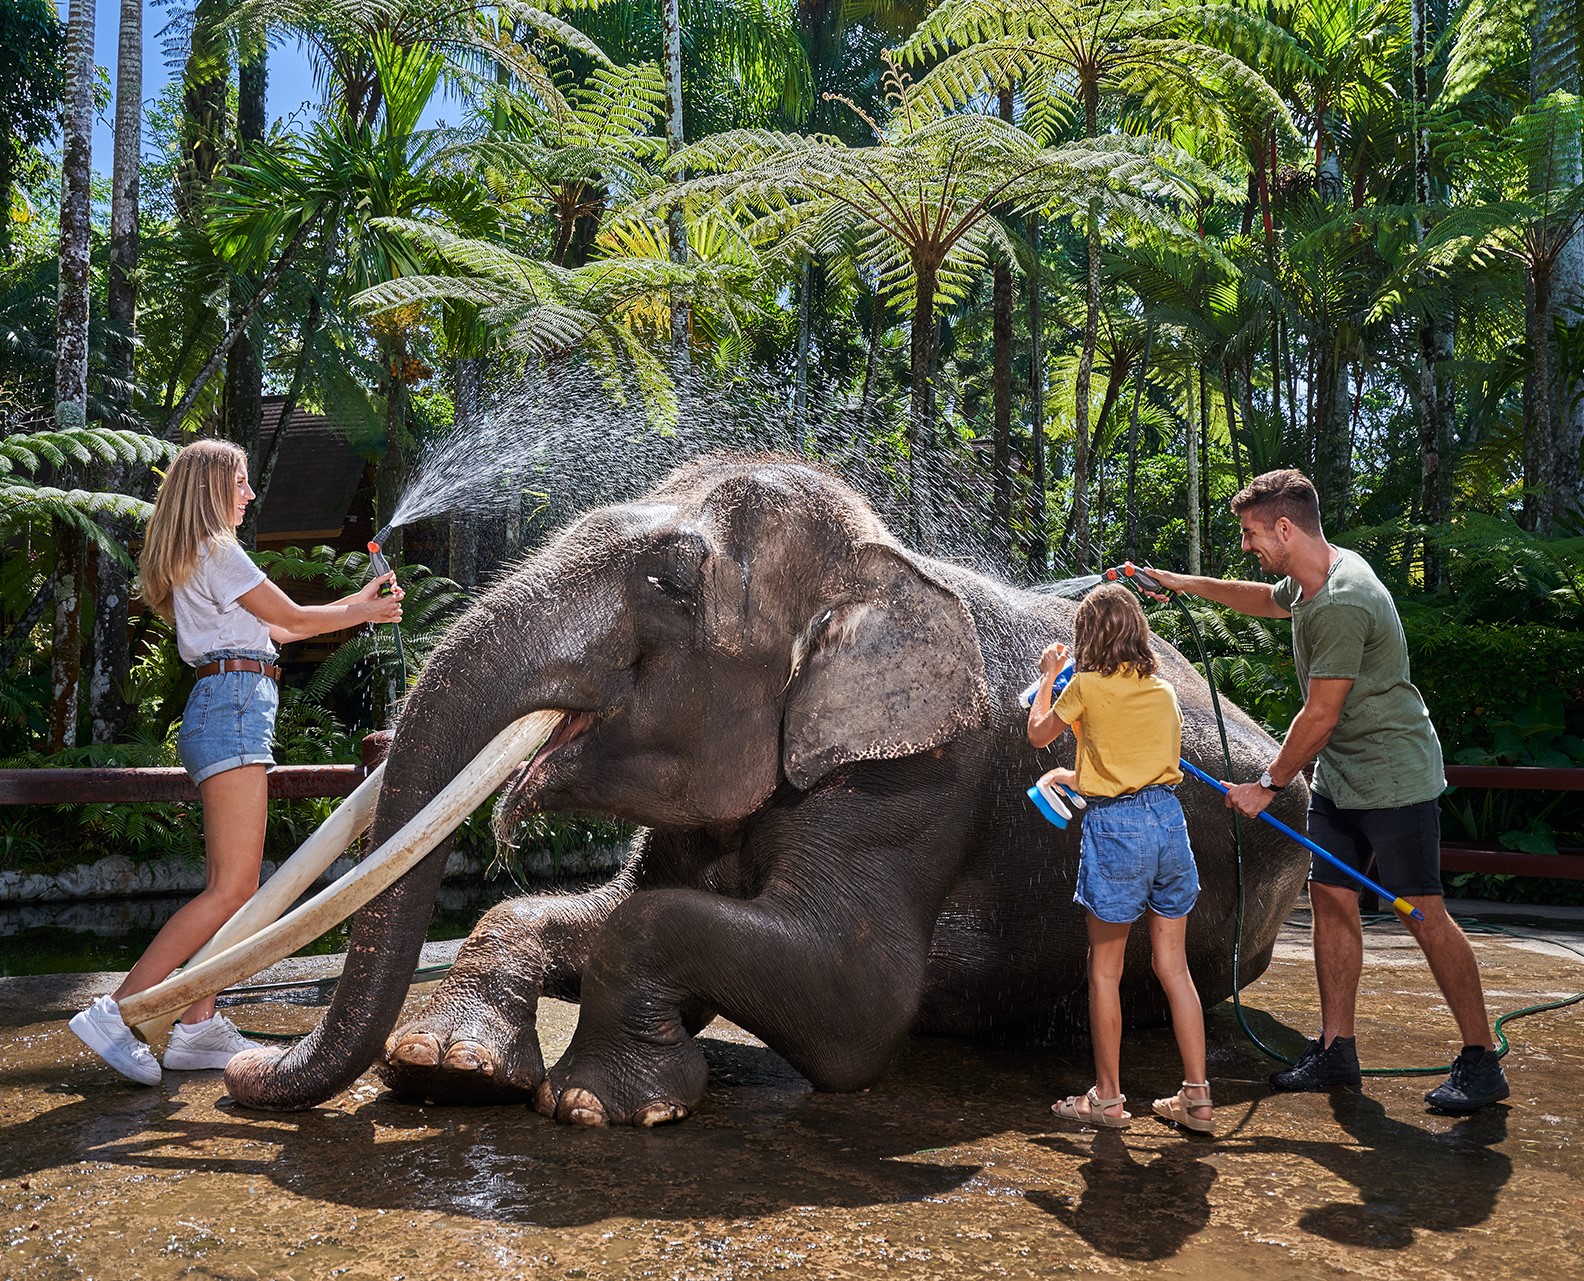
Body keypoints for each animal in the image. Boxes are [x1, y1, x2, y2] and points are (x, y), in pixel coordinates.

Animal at [226, 452, 1311, 1121]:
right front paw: (445, 1069)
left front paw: (594, 1104)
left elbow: (856, 1000)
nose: (242, 1065)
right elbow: (596, 906)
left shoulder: (917, 778)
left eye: (670, 583)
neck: (880, 558)